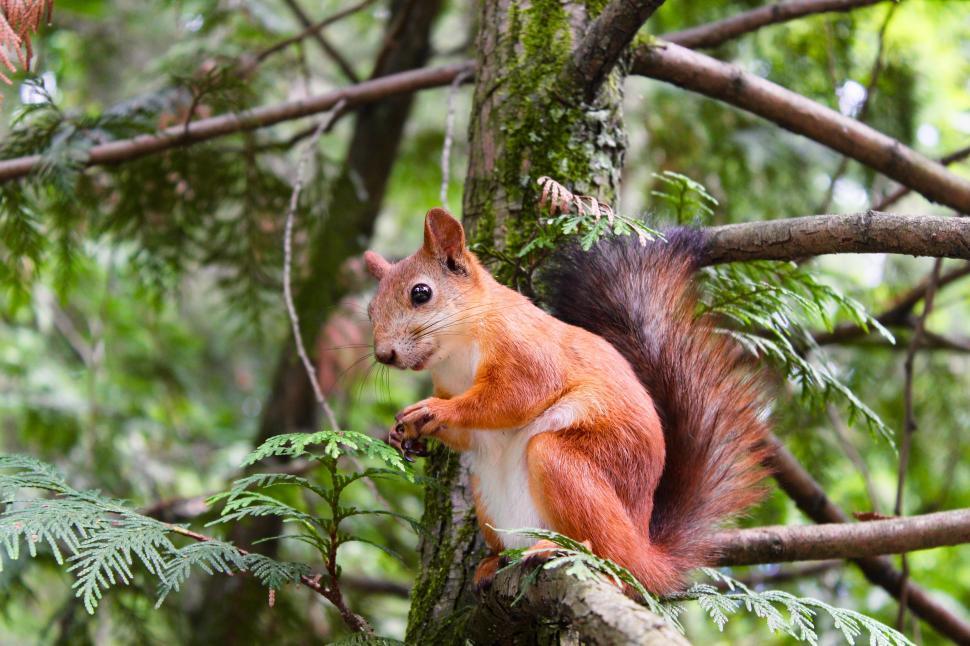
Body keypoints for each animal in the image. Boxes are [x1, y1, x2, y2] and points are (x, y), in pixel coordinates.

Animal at [363, 207, 771, 594]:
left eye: (421, 293)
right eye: (370, 310)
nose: (384, 355)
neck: (457, 351)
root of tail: (645, 552)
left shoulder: (527, 350)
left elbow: (513, 397)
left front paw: (434, 410)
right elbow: (469, 433)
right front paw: (404, 434)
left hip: (566, 464)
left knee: (611, 556)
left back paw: (562, 550)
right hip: (487, 497)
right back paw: (494, 562)